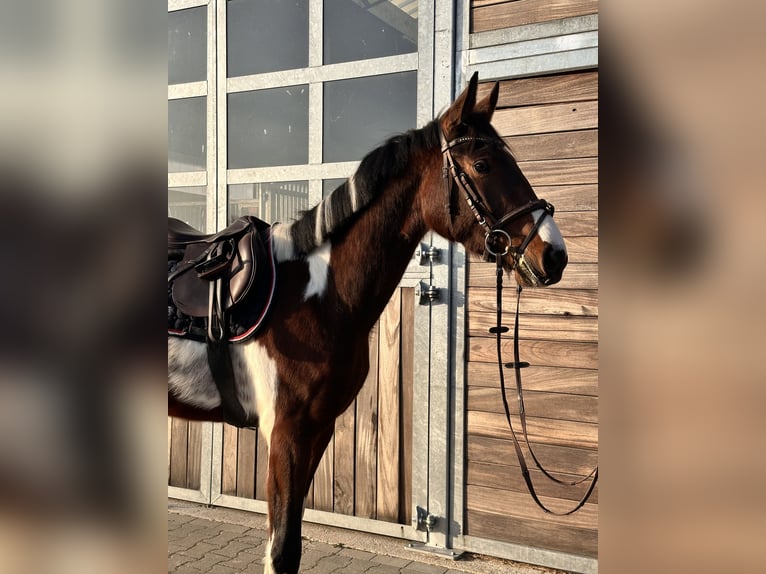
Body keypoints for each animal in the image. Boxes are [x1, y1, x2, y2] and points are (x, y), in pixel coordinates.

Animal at [168, 72, 568, 574]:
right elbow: (281, 550)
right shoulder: (285, 433)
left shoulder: (316, 430)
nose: (554, 255)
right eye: (482, 164)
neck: (314, 292)